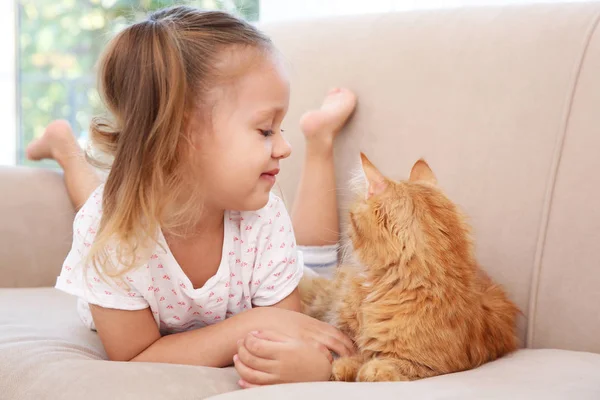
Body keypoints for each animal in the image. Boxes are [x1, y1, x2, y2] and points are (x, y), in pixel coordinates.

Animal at [302, 153, 516, 382]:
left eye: (351, 217)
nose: (347, 235)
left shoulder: (433, 365)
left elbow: (381, 364)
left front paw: (370, 369)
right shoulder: (347, 334)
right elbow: (355, 354)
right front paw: (344, 367)